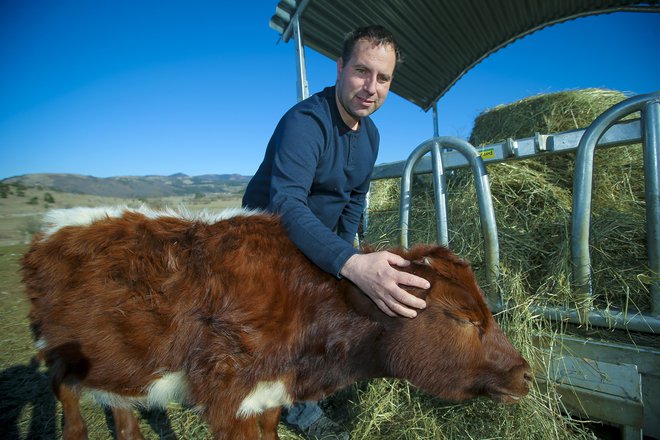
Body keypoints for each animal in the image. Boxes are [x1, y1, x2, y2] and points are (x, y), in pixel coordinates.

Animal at [21, 207, 532, 440]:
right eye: (464, 317)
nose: (526, 373)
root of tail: (52, 224)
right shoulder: (229, 402)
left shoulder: (268, 395)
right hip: (58, 350)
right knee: (65, 393)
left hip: (118, 362)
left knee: (122, 410)